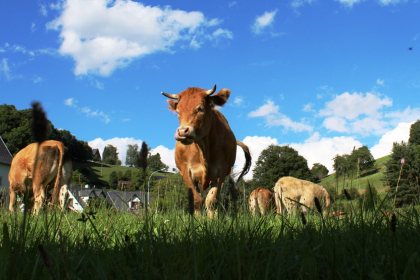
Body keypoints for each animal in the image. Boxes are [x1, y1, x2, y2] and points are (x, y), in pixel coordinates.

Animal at [162, 84, 251, 218]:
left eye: (200, 109)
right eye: (178, 112)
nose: (183, 132)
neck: (203, 148)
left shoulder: (221, 171)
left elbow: (212, 200)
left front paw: (211, 220)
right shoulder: (186, 170)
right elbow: (197, 200)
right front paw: (198, 221)